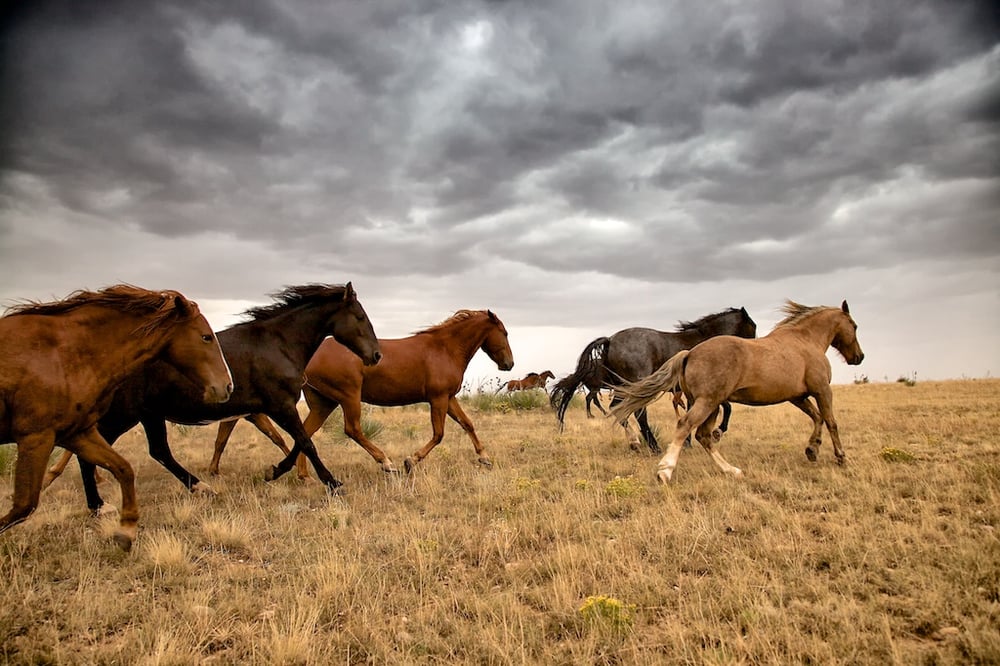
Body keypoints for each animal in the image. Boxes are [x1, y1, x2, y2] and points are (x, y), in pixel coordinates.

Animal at [0, 282, 230, 548]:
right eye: (206, 337)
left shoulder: (75, 432)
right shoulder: (36, 437)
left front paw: (126, 530)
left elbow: (123, 468)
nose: (227, 386)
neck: (64, 353)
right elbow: (24, 505)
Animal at [43, 280, 380, 508]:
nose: (376, 355)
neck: (276, 343)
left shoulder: (272, 408)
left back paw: (199, 487)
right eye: (361, 316)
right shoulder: (280, 405)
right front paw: (333, 483)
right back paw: (98, 506)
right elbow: (306, 442)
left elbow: (298, 441)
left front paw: (274, 472)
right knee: (93, 452)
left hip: (148, 415)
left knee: (157, 451)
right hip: (125, 415)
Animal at [207, 308, 512, 474]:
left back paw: (303, 474)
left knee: (306, 433)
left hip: (324, 403)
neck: (444, 349)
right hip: (348, 395)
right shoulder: (437, 398)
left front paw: (485, 458)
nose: (509, 363)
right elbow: (438, 435)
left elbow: (468, 424)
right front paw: (409, 461)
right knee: (352, 429)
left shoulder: (448, 398)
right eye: (505, 333)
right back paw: (386, 462)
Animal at [548, 308, 756, 452]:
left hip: (623, 387)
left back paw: (635, 442)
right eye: (752, 328)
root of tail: (610, 340)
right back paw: (653, 446)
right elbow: (726, 408)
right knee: (638, 413)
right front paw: (717, 432)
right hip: (637, 386)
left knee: (617, 409)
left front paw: (688, 442)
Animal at [612, 300, 864, 482]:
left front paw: (812, 450)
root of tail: (689, 353)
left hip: (710, 404)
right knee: (684, 426)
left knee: (702, 436)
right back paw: (664, 471)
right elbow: (831, 421)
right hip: (707, 402)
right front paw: (841, 457)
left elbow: (817, 417)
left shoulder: (797, 397)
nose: (859, 357)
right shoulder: (822, 390)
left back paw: (731, 470)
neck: (805, 342)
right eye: (854, 326)